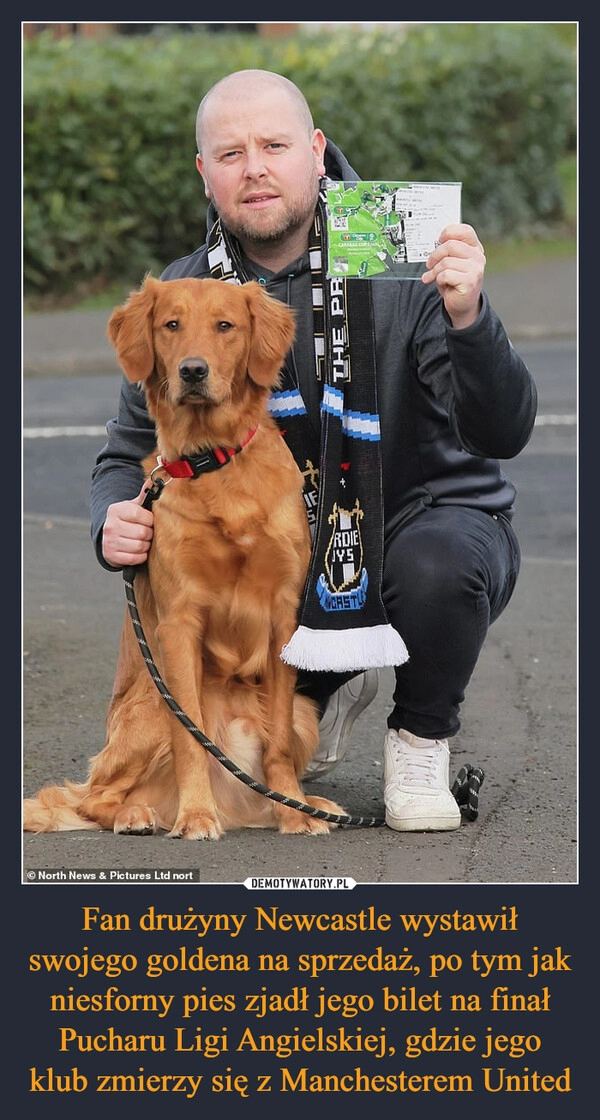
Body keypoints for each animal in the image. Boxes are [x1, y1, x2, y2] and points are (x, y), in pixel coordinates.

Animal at [23, 275, 344, 842]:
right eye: (171, 324)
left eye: (225, 325)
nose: (193, 371)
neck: (214, 461)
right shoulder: (179, 620)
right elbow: (190, 737)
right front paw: (196, 815)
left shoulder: (284, 615)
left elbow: (278, 742)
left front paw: (293, 811)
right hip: (152, 707)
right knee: (95, 798)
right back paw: (139, 814)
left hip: (305, 711)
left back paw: (304, 803)